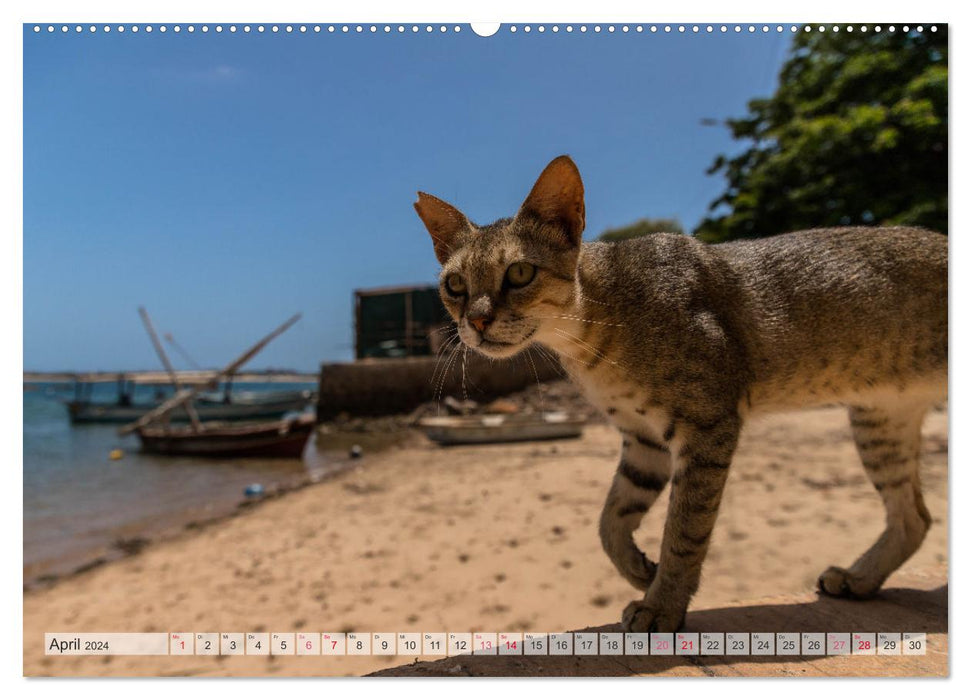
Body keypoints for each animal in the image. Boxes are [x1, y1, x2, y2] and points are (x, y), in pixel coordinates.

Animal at [412, 156, 948, 632]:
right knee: (915, 517)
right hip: (881, 423)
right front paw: (638, 571)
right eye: (454, 284)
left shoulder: (707, 426)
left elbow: (684, 531)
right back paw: (860, 579)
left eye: (520, 273)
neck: (595, 336)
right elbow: (610, 519)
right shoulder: (643, 438)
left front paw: (662, 605)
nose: (476, 322)